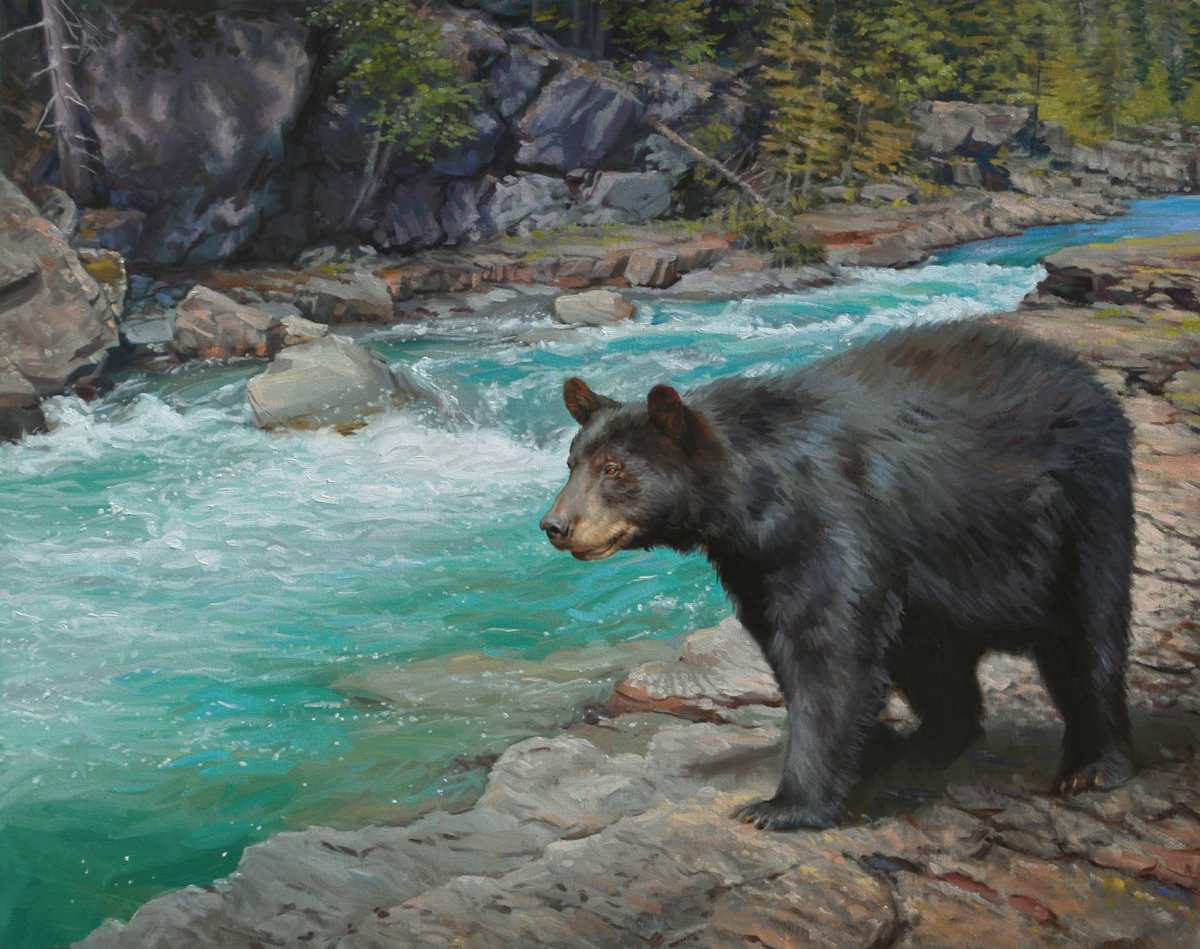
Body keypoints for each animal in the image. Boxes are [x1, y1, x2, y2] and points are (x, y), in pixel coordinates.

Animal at [540, 320, 1136, 831]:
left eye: (614, 469)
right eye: (571, 464)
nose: (555, 526)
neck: (754, 493)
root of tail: (1082, 376)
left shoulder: (832, 517)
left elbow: (828, 648)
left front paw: (784, 804)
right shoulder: (755, 563)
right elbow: (786, 641)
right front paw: (869, 751)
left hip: (1079, 508)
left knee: (1087, 632)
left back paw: (1092, 765)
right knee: (933, 655)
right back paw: (929, 743)